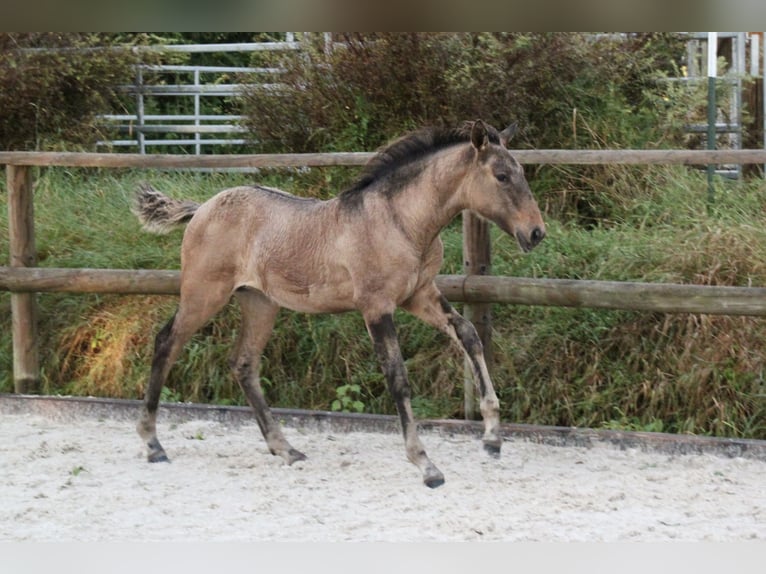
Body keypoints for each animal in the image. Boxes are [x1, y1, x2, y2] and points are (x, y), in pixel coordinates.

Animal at [136, 119, 544, 488]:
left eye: (521, 172)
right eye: (502, 176)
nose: (536, 233)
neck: (401, 222)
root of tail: (203, 207)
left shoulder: (419, 295)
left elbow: (468, 333)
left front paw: (492, 437)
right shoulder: (377, 307)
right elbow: (398, 378)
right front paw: (426, 465)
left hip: (260, 303)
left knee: (243, 364)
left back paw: (285, 448)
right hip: (204, 293)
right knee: (166, 343)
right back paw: (153, 444)